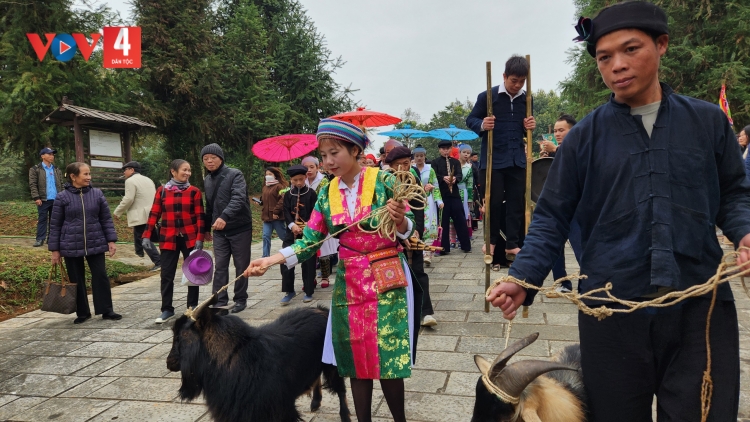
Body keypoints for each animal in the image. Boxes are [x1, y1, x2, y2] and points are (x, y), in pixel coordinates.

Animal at [167, 296, 352, 422]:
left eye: (182, 335)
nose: (169, 363)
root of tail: (322, 310)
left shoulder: (279, 408)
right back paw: (315, 402)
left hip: (331, 362)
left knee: (341, 389)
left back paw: (344, 416)